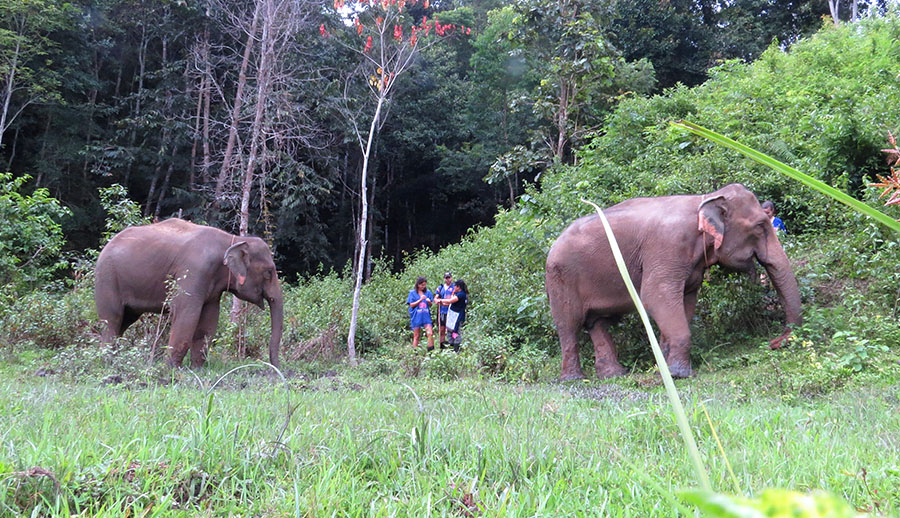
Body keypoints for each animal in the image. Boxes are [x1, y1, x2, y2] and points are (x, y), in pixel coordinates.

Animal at [96, 219, 284, 370]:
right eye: (269, 272)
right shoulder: (193, 272)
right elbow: (186, 315)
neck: (233, 239)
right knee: (112, 319)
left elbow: (208, 322)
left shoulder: (212, 288)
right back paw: (106, 363)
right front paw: (171, 370)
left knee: (125, 320)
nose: (276, 370)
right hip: (107, 278)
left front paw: (197, 370)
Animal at [544, 185, 804, 380]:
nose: (773, 342)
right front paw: (679, 375)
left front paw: (665, 368)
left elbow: (685, 301)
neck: (703, 199)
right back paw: (574, 379)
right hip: (559, 277)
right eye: (760, 226)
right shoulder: (667, 246)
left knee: (597, 323)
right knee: (569, 324)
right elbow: (655, 296)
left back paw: (615, 375)